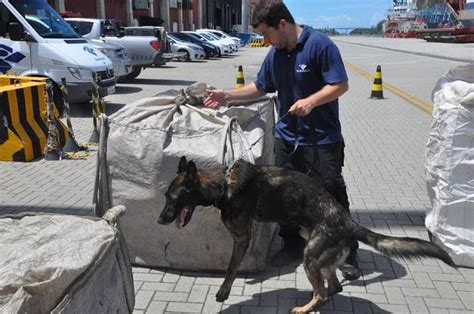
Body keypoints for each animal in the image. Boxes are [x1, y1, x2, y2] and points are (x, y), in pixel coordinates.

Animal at [157, 157, 454, 314]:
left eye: (172, 199)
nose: (159, 220)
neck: (222, 183)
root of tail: (348, 222)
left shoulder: (241, 237)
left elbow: (231, 268)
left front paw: (223, 292)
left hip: (310, 257)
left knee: (323, 292)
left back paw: (304, 308)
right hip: (317, 254)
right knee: (332, 287)